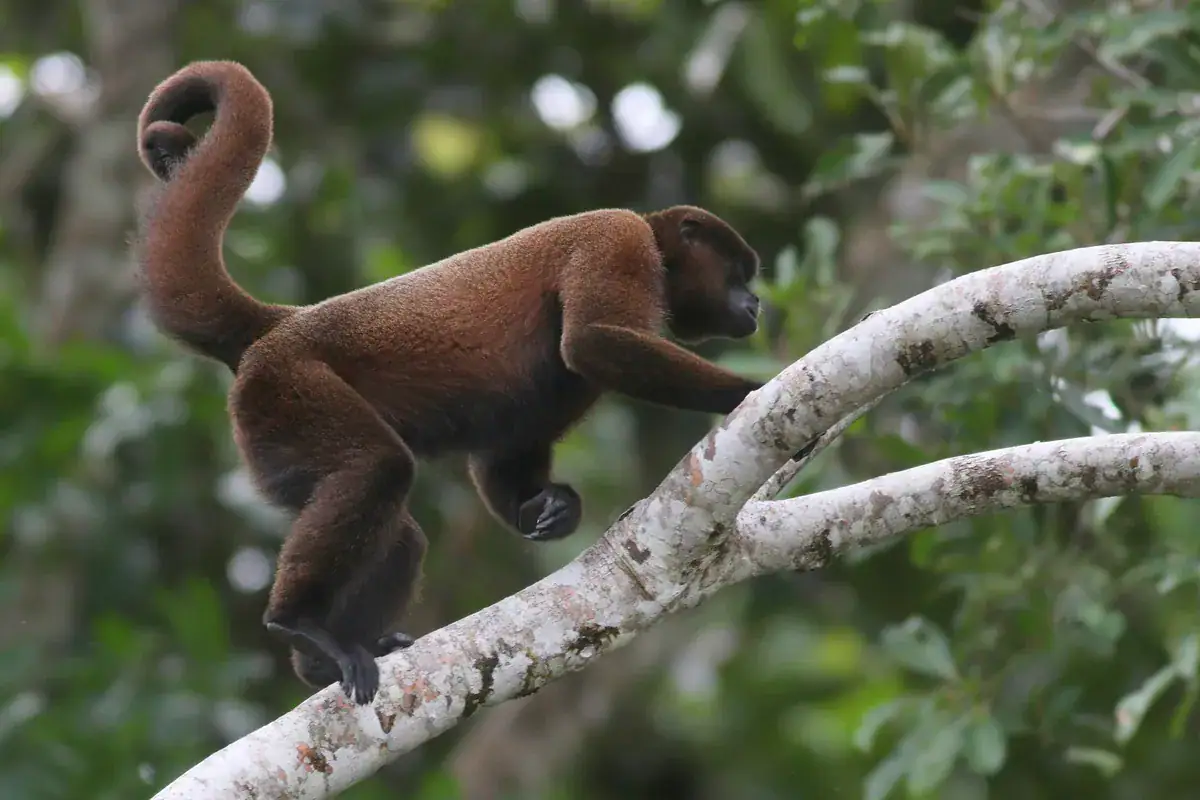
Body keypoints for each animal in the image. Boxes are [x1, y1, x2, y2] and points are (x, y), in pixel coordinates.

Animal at [134, 60, 766, 706]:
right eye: (739, 272)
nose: (757, 303)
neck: (657, 253)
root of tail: (283, 323)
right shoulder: (616, 240)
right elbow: (592, 344)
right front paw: (745, 391)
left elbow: (504, 452)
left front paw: (556, 508)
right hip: (287, 388)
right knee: (378, 469)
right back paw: (301, 625)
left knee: (401, 531)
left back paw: (320, 661)